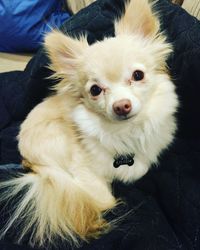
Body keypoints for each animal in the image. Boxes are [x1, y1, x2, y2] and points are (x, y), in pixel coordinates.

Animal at [0, 0, 178, 246]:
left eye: (138, 75)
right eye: (95, 90)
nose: (121, 105)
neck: (124, 132)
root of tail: (26, 154)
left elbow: (140, 169)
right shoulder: (82, 168)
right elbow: (104, 198)